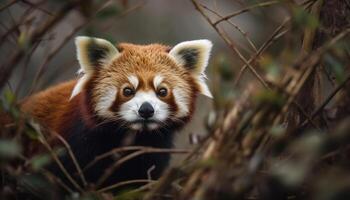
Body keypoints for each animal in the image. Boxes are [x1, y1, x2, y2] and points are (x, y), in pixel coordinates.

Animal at [21, 35, 215, 189]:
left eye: (162, 91)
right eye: (128, 91)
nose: (146, 110)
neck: (134, 138)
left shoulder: (155, 151)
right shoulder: (73, 144)